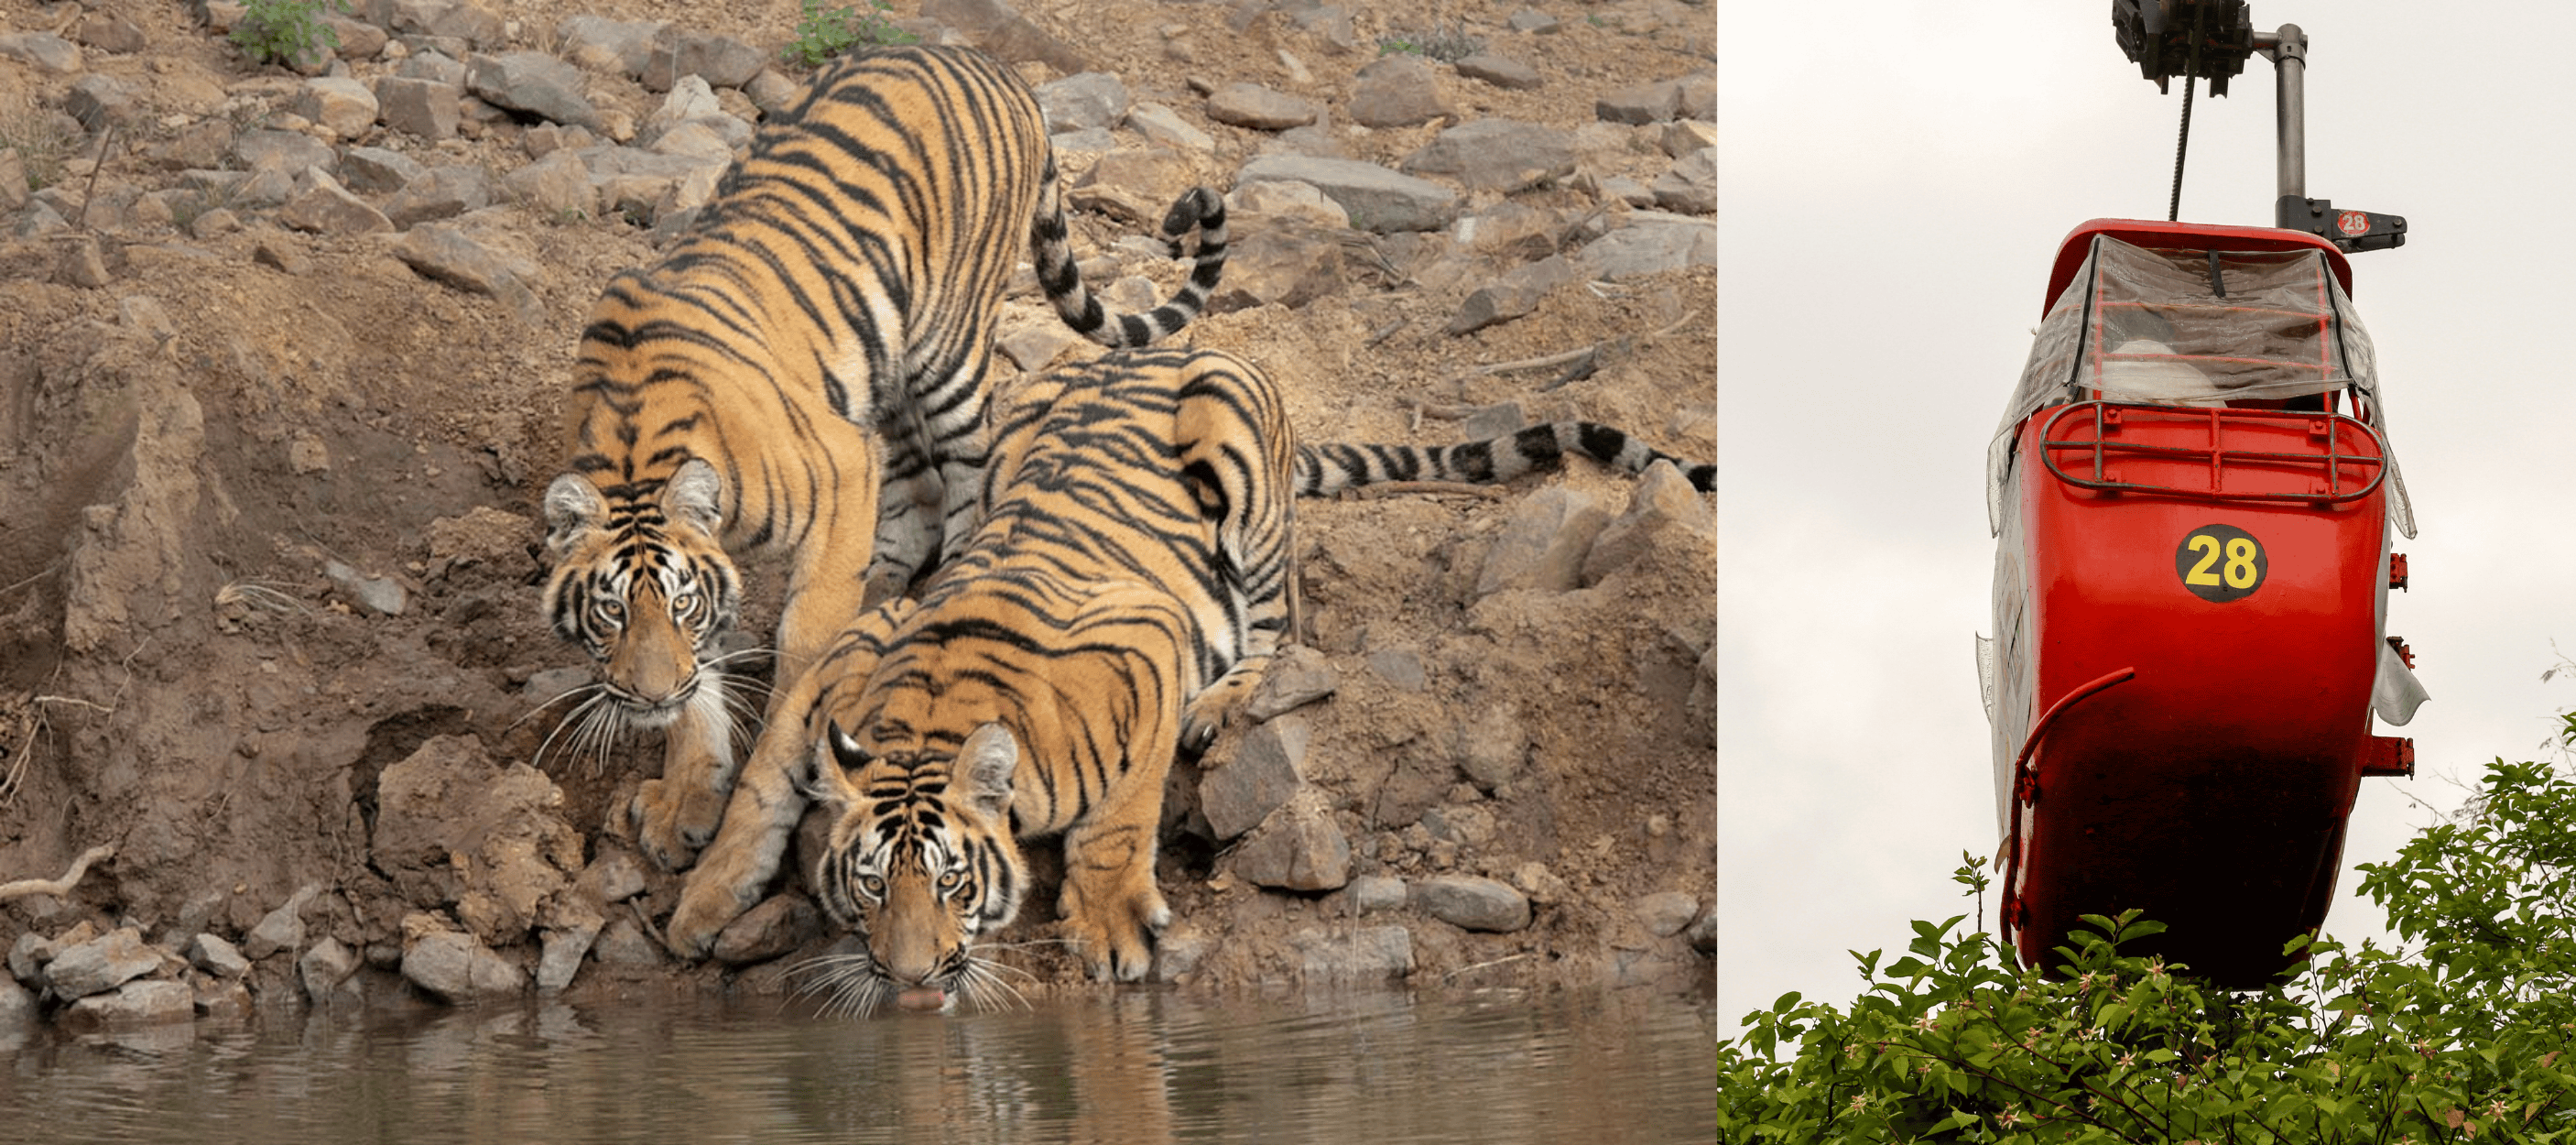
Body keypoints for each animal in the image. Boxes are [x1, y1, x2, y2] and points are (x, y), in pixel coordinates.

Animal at [533, 39, 1225, 871]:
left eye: (679, 602)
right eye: (610, 610)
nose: (650, 697)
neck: (635, 449)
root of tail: (990, 64)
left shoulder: (839, 470)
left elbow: (802, 647)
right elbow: (706, 683)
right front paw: (685, 799)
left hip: (945, 354)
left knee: (964, 483)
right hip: (881, 376)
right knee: (916, 502)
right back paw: (887, 585)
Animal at [654, 345, 1721, 1000]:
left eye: (953, 881)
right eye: (873, 886)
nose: (913, 979)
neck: (927, 717)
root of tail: (1156, 345)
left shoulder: (1147, 639)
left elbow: (1122, 813)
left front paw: (1112, 925)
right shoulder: (841, 660)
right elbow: (762, 784)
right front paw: (701, 904)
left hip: (1233, 452)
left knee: (1279, 624)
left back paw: (1226, 698)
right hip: (1010, 425)